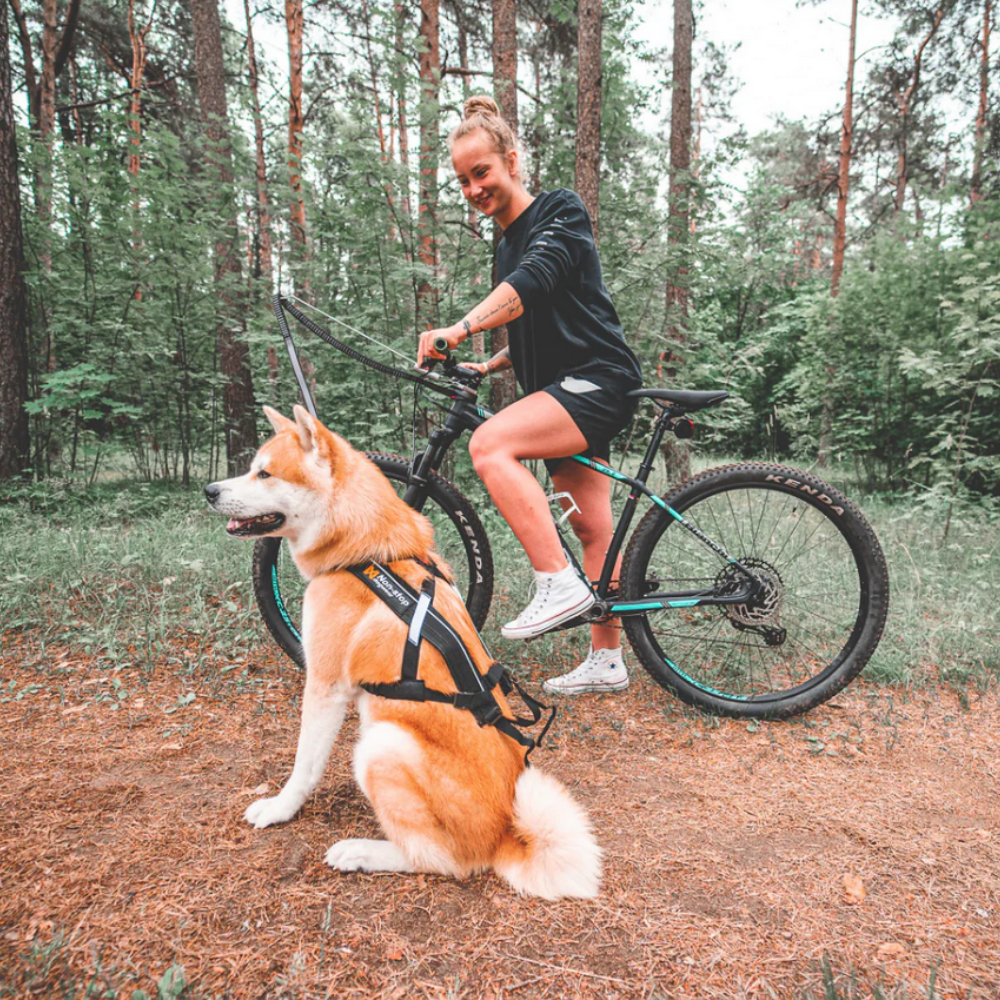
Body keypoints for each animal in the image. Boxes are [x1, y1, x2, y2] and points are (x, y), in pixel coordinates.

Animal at [203, 404, 600, 900]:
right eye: (252, 469)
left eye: (264, 473)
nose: (209, 490)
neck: (366, 555)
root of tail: (507, 834)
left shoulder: (325, 686)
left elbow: (304, 768)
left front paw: (279, 809)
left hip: (382, 744)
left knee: (438, 859)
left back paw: (360, 851)